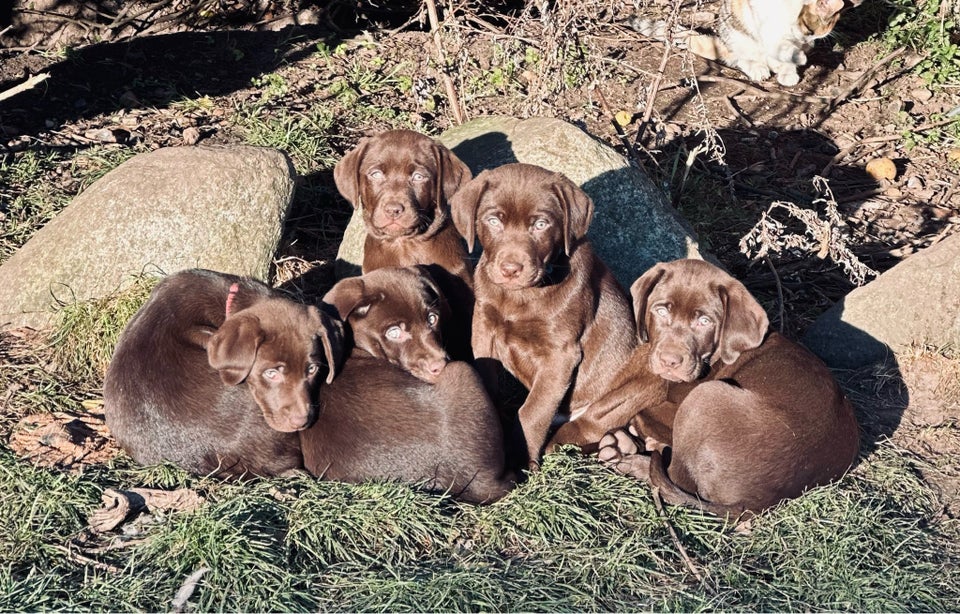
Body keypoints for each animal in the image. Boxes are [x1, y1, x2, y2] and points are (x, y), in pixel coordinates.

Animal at [448, 161, 636, 470]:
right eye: (493, 220)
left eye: (540, 224)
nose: (511, 269)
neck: (521, 296)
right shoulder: (484, 327)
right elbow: (487, 377)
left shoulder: (560, 355)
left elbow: (532, 411)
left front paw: (520, 460)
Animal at [600, 260, 864, 520]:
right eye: (661, 310)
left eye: (705, 321)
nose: (669, 361)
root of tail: (756, 502)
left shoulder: (673, 408)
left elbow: (644, 412)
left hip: (705, 397)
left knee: (675, 475)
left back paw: (628, 456)